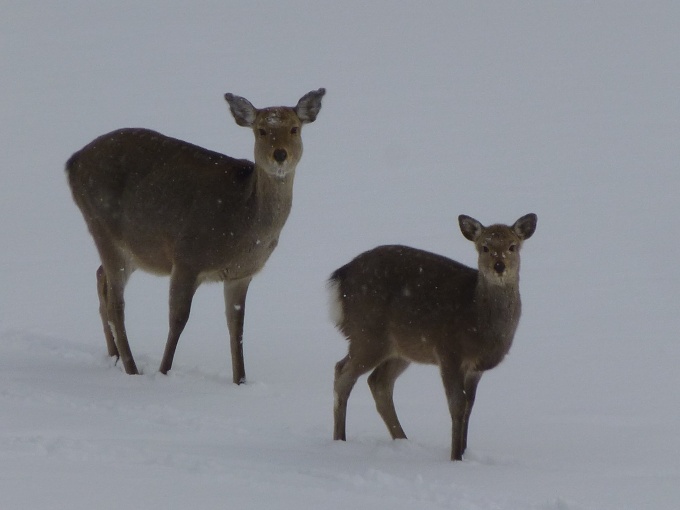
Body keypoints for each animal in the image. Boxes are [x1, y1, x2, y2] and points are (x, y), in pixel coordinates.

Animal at [67, 87, 326, 382]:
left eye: (294, 128)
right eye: (261, 130)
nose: (280, 154)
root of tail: (72, 163)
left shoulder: (241, 274)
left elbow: (236, 327)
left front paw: (240, 381)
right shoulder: (188, 258)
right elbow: (178, 319)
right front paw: (163, 372)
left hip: (134, 249)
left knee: (101, 278)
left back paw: (114, 357)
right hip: (101, 225)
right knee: (115, 305)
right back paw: (132, 370)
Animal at [328, 213, 536, 460]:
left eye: (513, 246)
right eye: (484, 247)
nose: (499, 266)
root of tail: (338, 277)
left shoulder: (476, 368)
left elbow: (469, 406)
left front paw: (463, 450)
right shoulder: (448, 352)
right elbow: (457, 404)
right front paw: (455, 457)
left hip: (401, 348)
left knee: (378, 381)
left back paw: (402, 440)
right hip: (367, 335)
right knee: (342, 372)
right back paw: (339, 440)